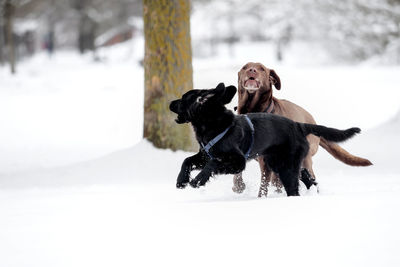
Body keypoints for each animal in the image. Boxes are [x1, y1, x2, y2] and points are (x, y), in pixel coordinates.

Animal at [170, 83, 364, 197]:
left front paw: (197, 181)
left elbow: (213, 164)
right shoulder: (205, 154)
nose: (170, 103)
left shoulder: (237, 161)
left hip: (285, 165)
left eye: (183, 98)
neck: (212, 124)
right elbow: (186, 161)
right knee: (308, 179)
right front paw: (181, 181)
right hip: (280, 162)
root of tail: (299, 125)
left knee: (295, 188)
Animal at [233, 62, 374, 197]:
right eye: (245, 67)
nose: (252, 70)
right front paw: (238, 186)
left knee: (308, 178)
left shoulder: (266, 160)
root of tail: (311, 122)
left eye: (261, 68)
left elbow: (265, 183)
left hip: (304, 159)